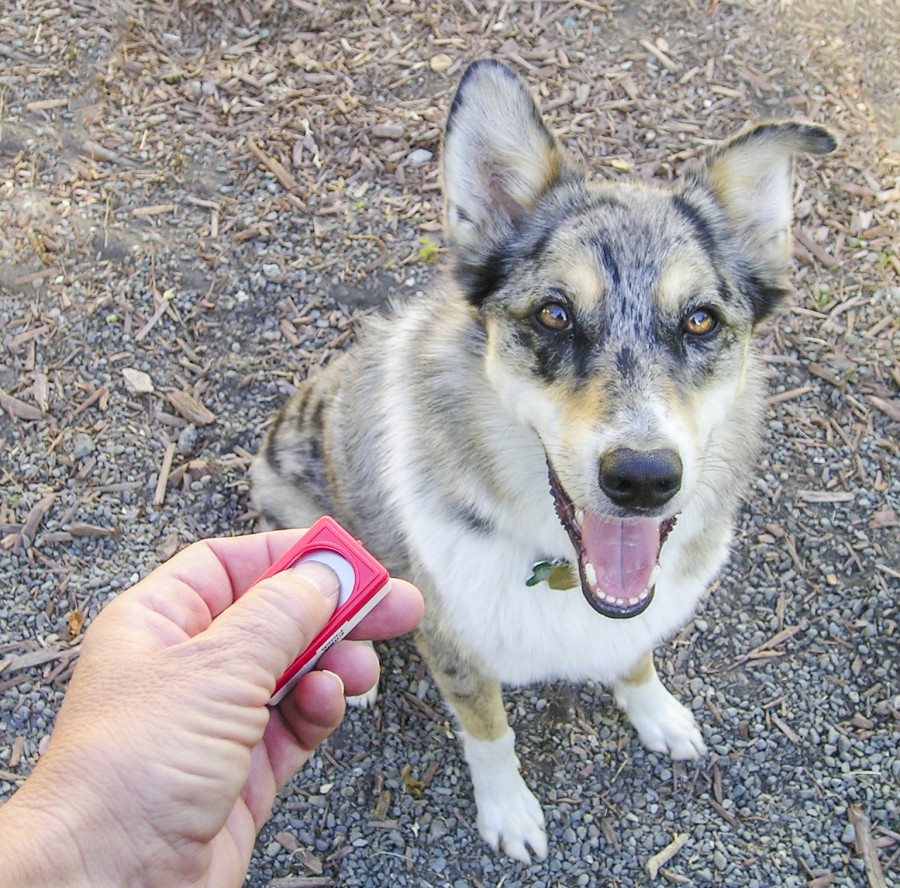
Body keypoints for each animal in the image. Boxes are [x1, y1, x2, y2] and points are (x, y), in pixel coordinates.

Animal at [248, 57, 836, 860]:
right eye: (555, 314)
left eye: (700, 321)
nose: (643, 479)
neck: (560, 570)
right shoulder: (453, 641)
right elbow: (488, 731)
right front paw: (509, 811)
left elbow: (636, 655)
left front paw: (657, 713)